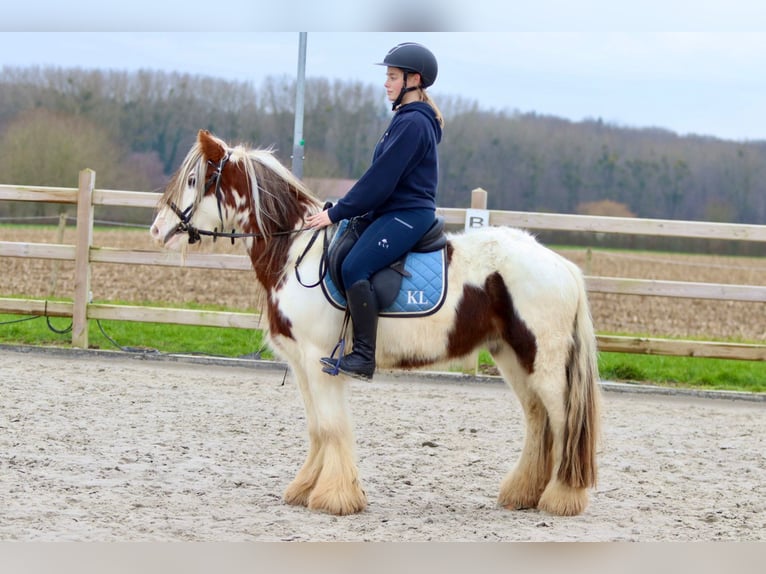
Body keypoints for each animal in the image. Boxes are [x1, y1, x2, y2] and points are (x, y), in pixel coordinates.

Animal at [150, 130, 604, 516]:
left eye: (194, 180)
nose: (157, 230)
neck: (296, 250)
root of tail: (562, 266)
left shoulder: (319, 360)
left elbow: (332, 427)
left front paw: (335, 497)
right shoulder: (301, 364)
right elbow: (317, 428)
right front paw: (305, 489)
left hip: (544, 363)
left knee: (563, 421)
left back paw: (562, 498)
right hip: (512, 356)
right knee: (538, 419)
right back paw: (524, 493)